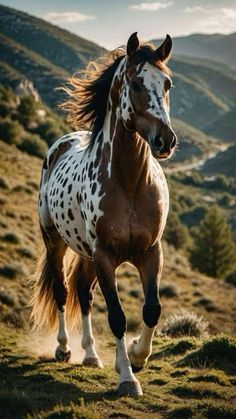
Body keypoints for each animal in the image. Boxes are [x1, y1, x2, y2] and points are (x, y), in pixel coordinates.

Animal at [30, 32, 176, 398]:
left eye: (167, 83)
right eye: (136, 83)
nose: (165, 141)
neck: (128, 183)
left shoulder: (151, 253)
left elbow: (152, 310)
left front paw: (138, 356)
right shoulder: (106, 257)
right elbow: (117, 317)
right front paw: (127, 377)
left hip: (86, 254)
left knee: (84, 293)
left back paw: (92, 355)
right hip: (56, 242)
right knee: (63, 292)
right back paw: (64, 349)